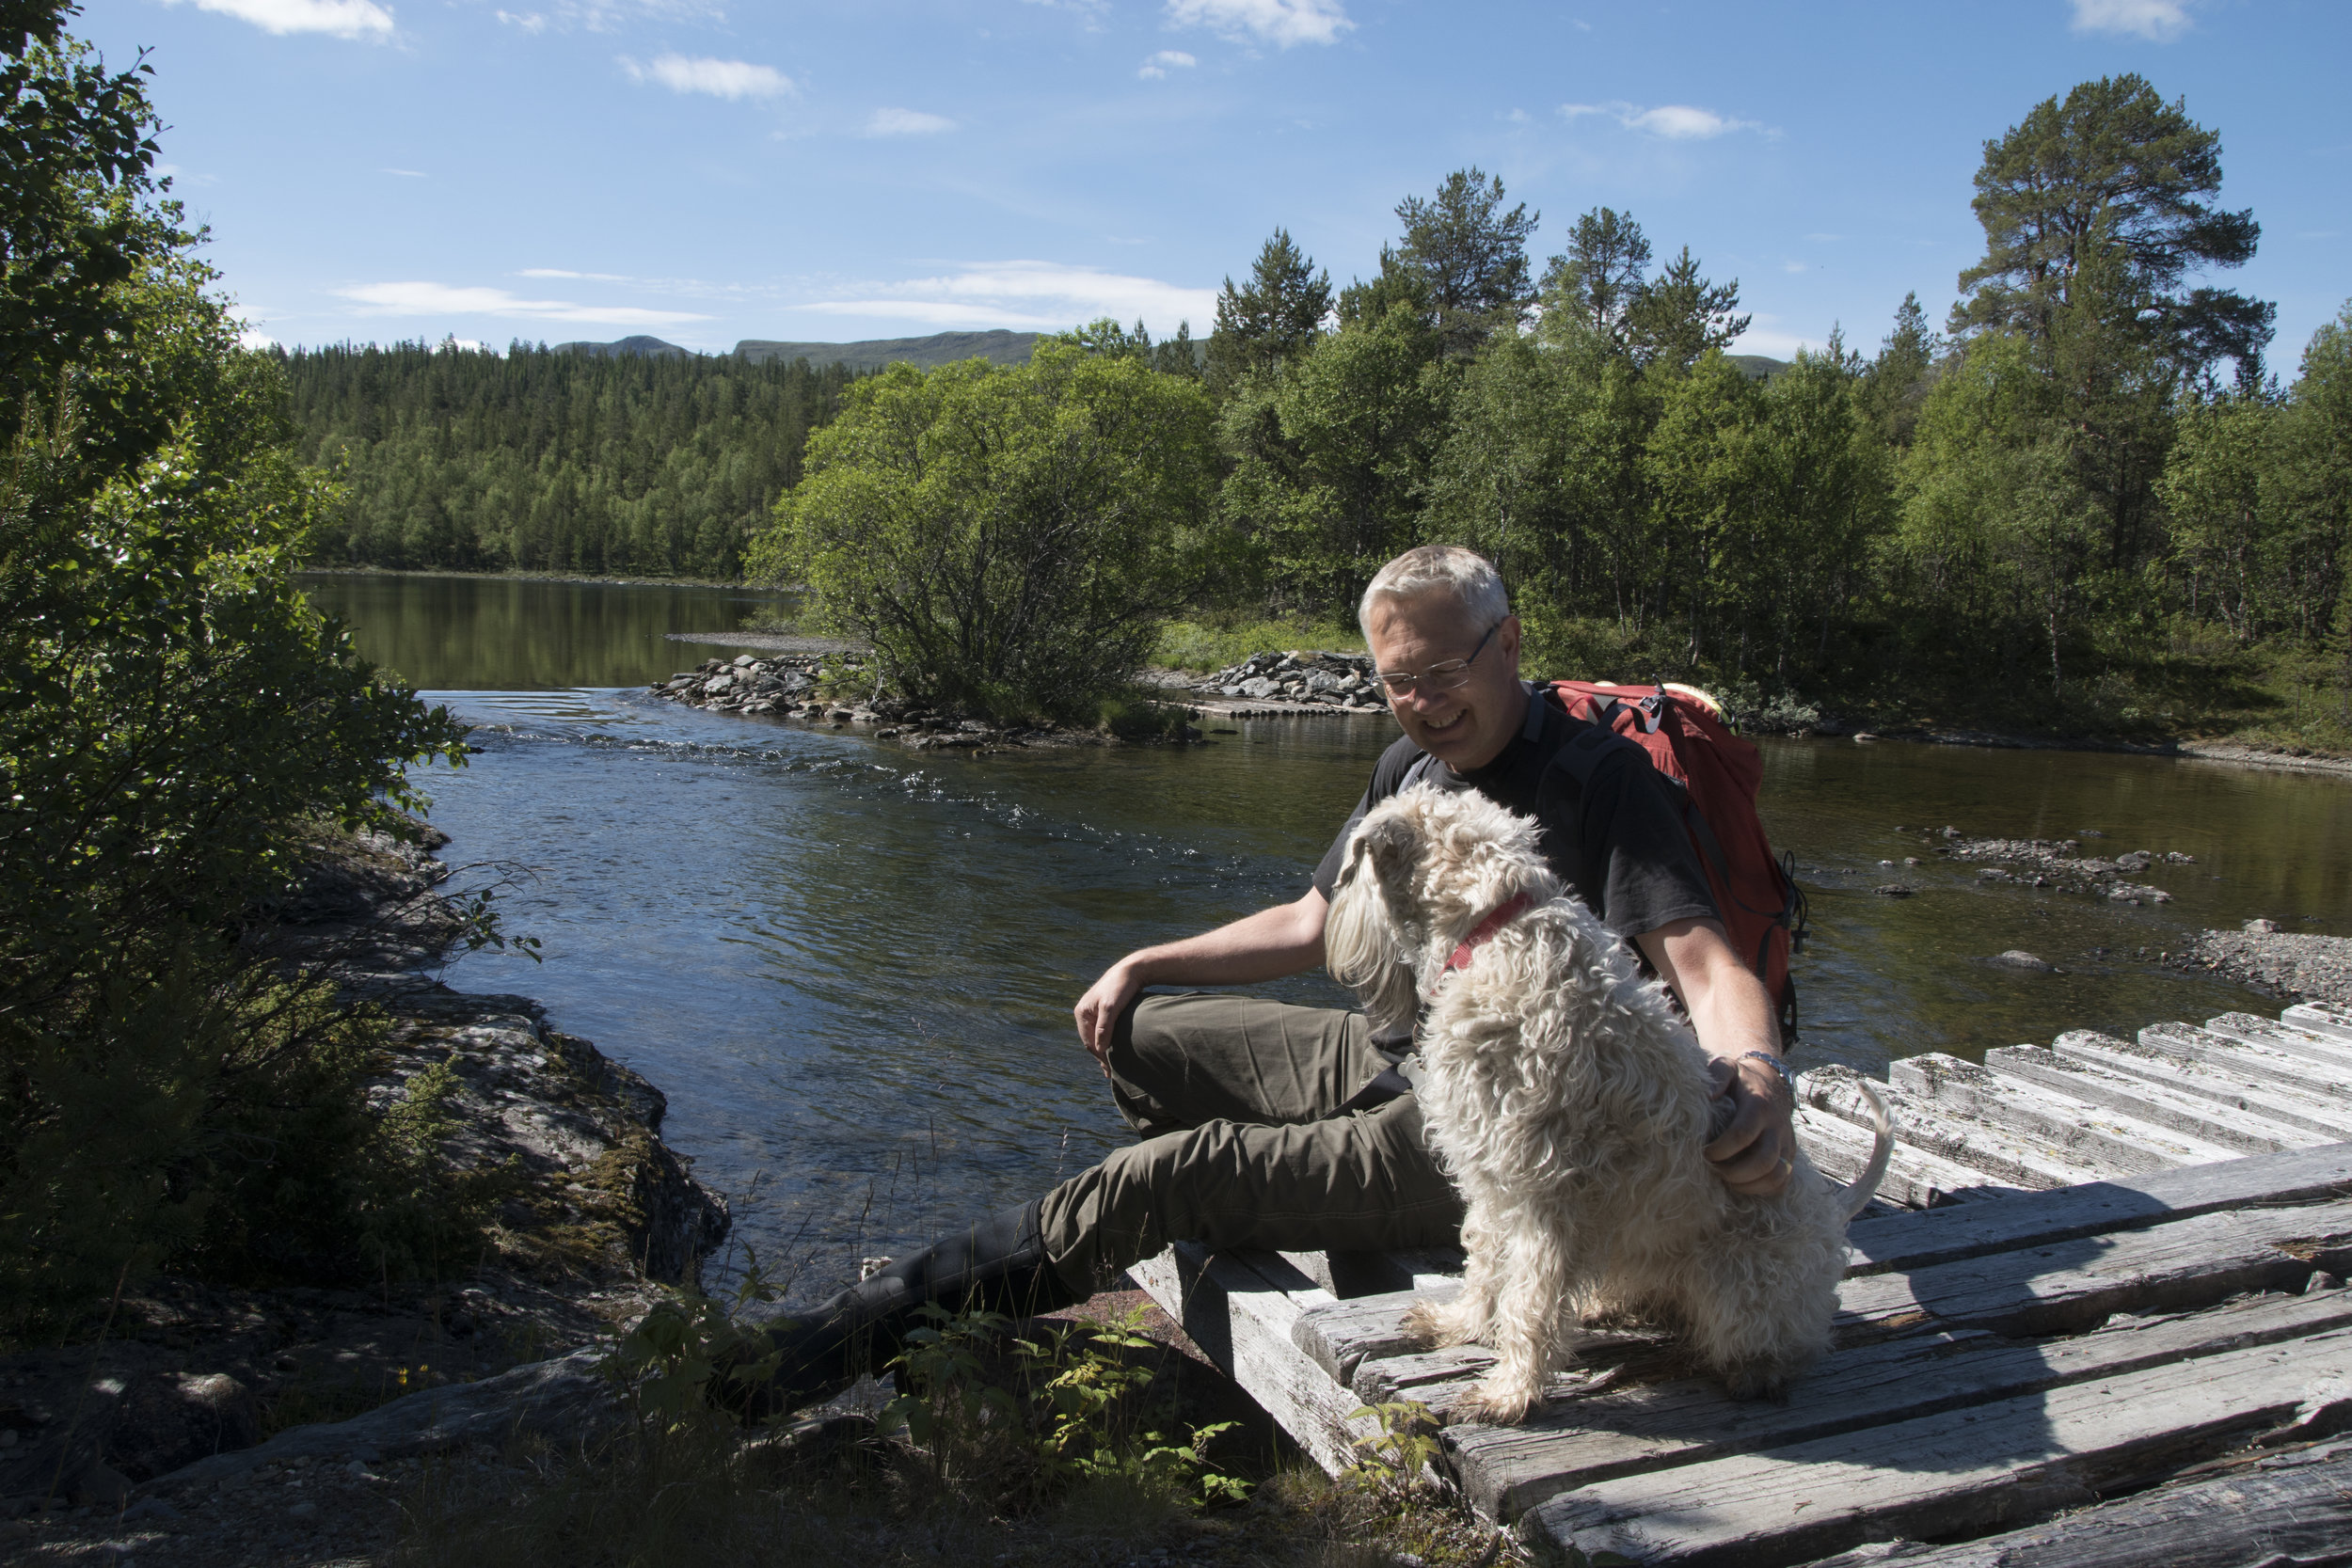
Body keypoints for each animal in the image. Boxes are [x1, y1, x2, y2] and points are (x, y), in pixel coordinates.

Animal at [1327, 784, 1891, 1419]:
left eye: (1353, 868)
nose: (1332, 912)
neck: (1493, 932)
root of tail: (1831, 1216)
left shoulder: (1546, 1194)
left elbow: (1529, 1298)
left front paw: (1510, 1392)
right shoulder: (1490, 1176)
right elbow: (1485, 1261)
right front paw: (1462, 1325)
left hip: (1743, 1282)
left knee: (1780, 1337)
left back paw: (1756, 1370)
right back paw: (1605, 1306)